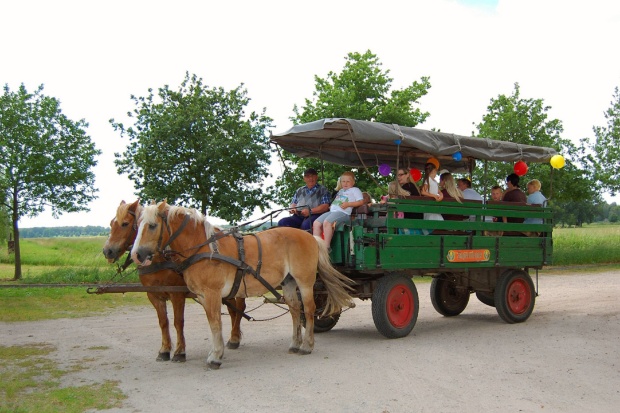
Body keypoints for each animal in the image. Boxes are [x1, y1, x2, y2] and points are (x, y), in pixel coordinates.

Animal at [103, 200, 246, 360]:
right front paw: (164, 350)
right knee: (233, 311)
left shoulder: (177, 294)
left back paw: (234, 338)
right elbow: (163, 322)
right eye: (111, 223)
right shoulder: (154, 295)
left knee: (239, 309)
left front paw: (179, 351)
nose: (107, 251)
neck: (161, 262)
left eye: (125, 224)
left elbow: (178, 322)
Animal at [131, 201, 354, 368]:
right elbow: (212, 323)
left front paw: (215, 356)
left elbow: (215, 323)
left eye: (152, 225)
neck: (205, 249)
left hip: (305, 282)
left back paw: (307, 345)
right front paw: (215, 352)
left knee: (308, 310)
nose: (137, 255)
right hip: (289, 282)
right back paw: (294, 344)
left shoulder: (212, 294)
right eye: (136, 225)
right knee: (294, 309)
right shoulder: (203, 296)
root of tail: (310, 236)